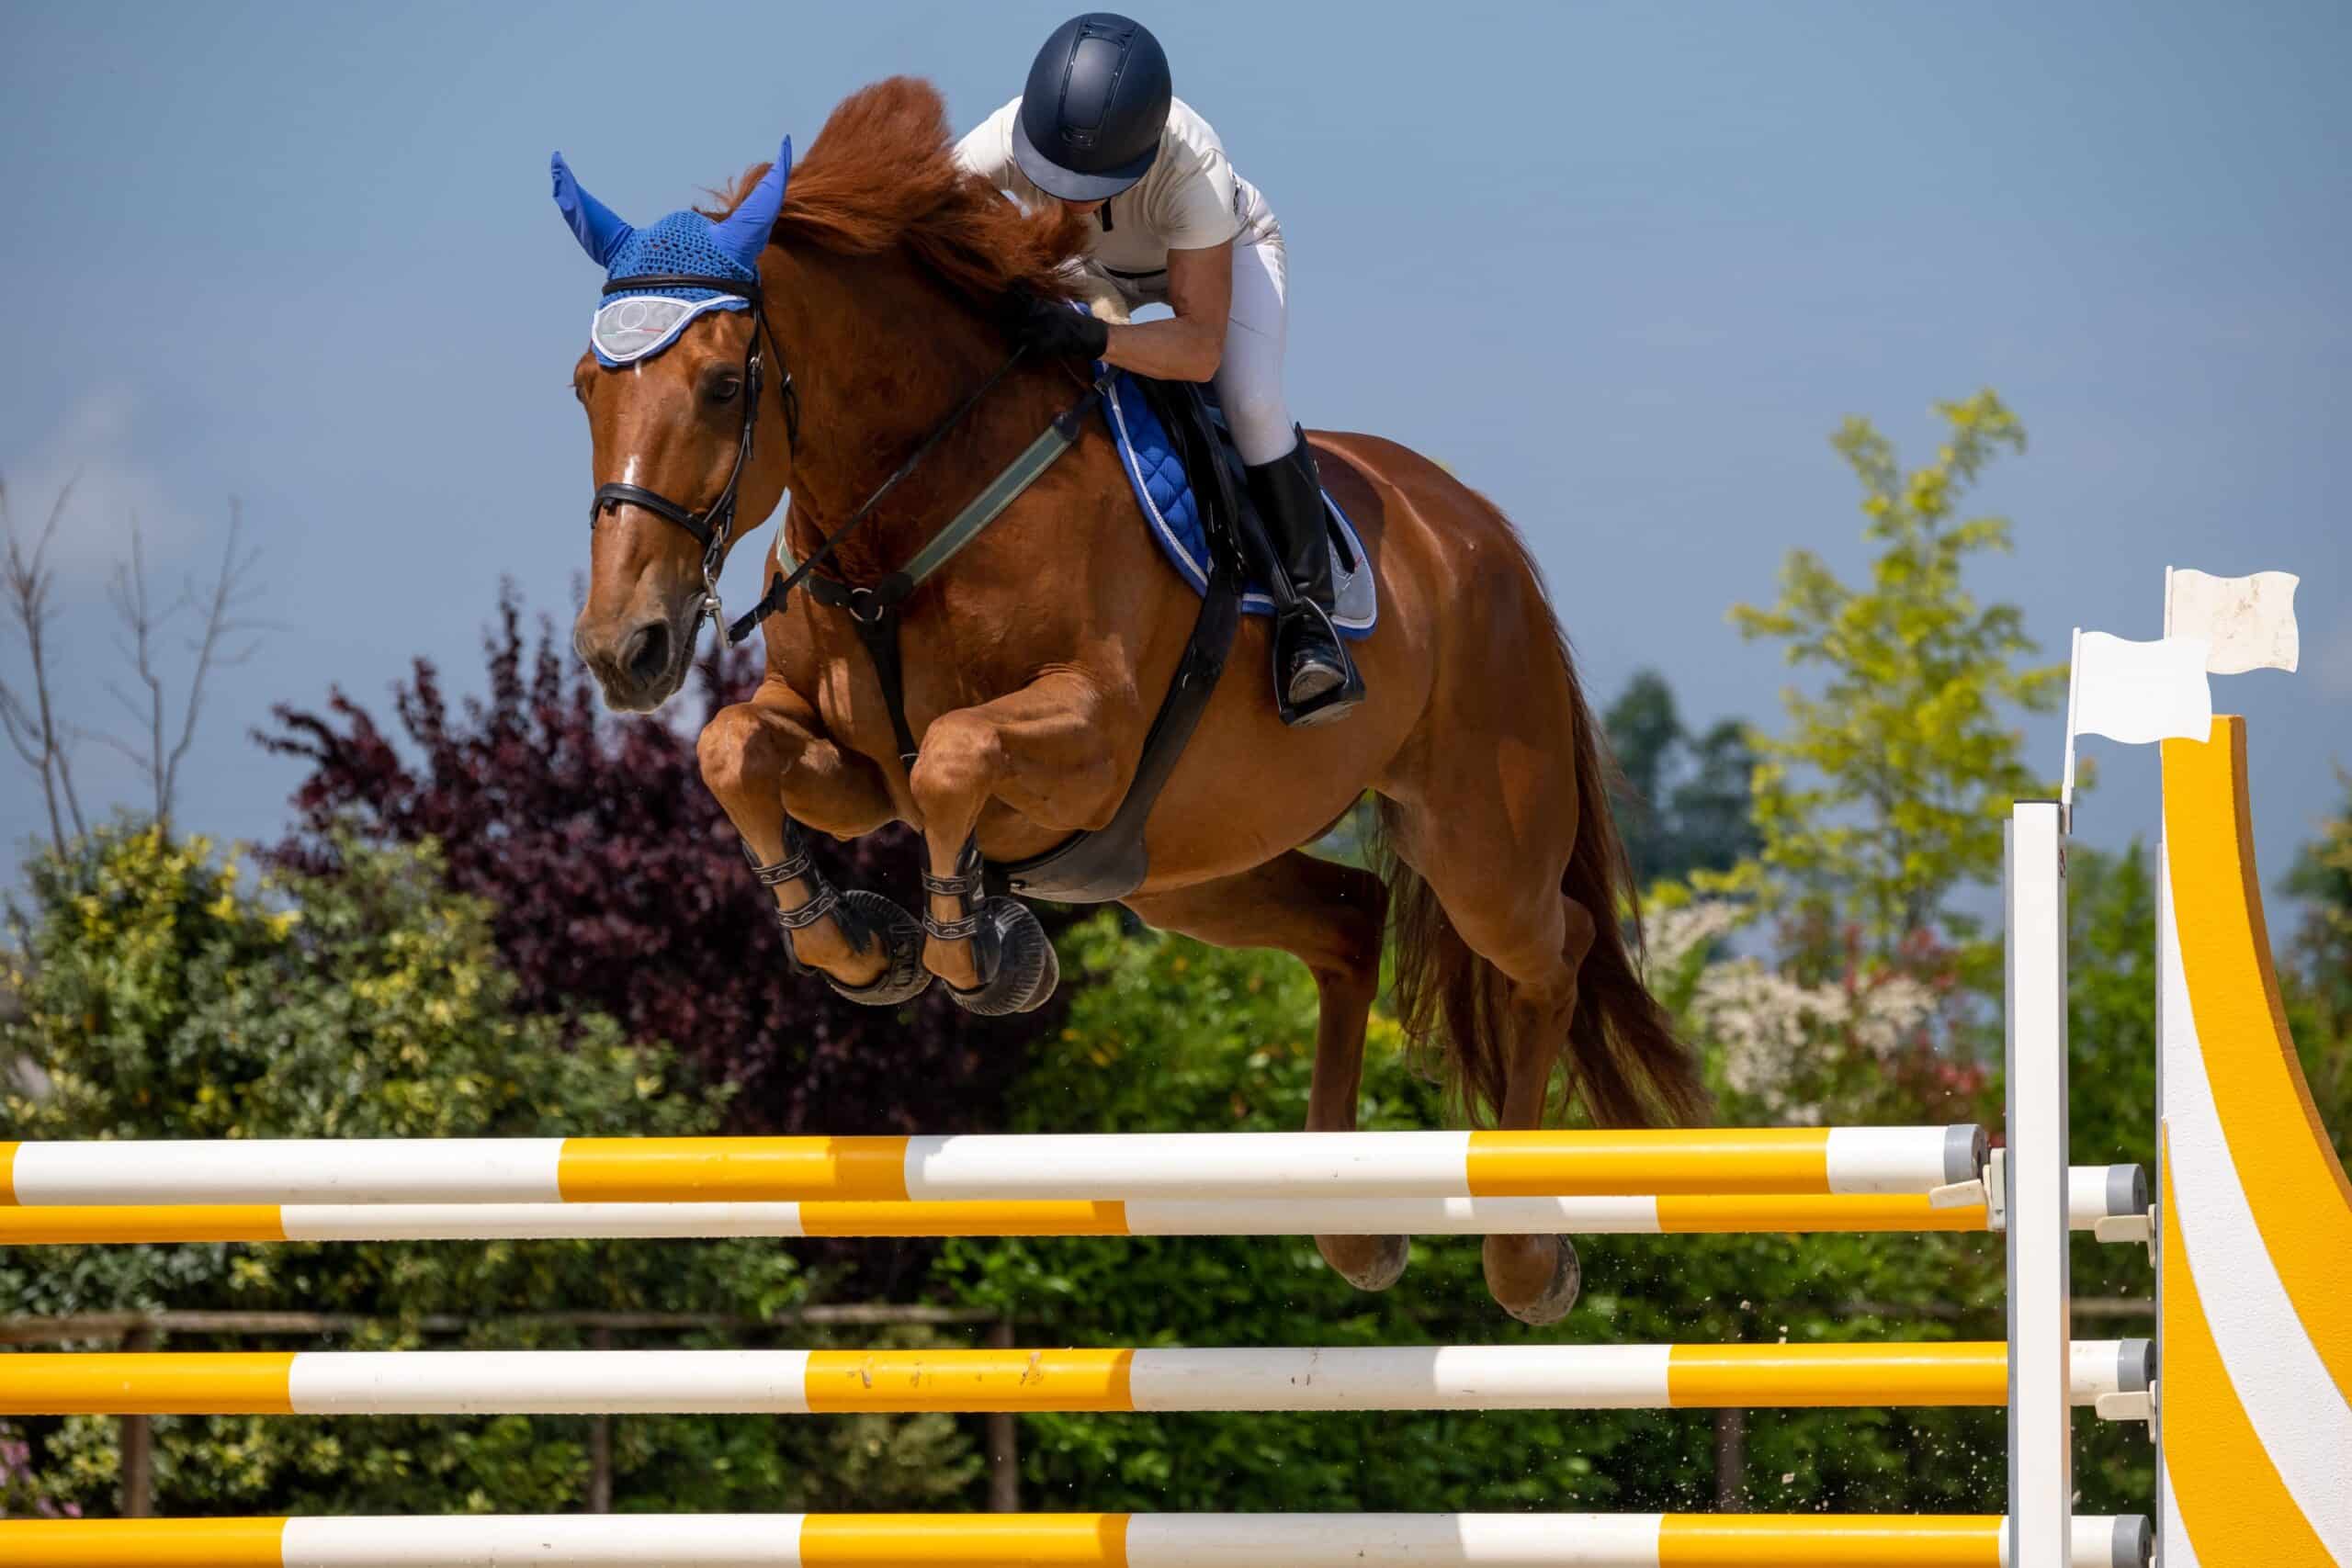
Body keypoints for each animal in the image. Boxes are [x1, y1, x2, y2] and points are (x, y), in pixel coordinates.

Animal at [569, 76, 1712, 1325]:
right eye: (583, 387)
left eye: (724, 384)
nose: (625, 648)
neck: (908, 505)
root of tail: (1476, 531)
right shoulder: (848, 761)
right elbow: (735, 751)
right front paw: (861, 943)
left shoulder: (1089, 735)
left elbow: (953, 758)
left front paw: (986, 953)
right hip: (1186, 864)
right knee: (1351, 922)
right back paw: (1352, 1225)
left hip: (1473, 841)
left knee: (1552, 951)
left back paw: (1522, 1250)